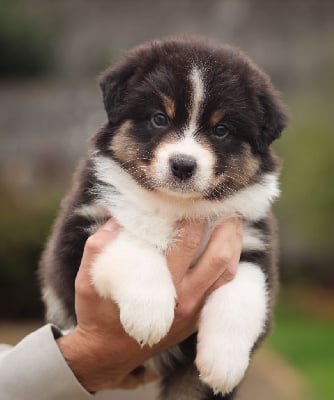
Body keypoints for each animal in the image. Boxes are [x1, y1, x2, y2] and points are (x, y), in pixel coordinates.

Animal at [39, 38, 288, 400]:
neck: (176, 206)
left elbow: (241, 293)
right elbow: (132, 242)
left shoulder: (250, 242)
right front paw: (150, 314)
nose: (183, 165)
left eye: (221, 129)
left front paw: (224, 364)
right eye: (159, 118)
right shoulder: (84, 227)